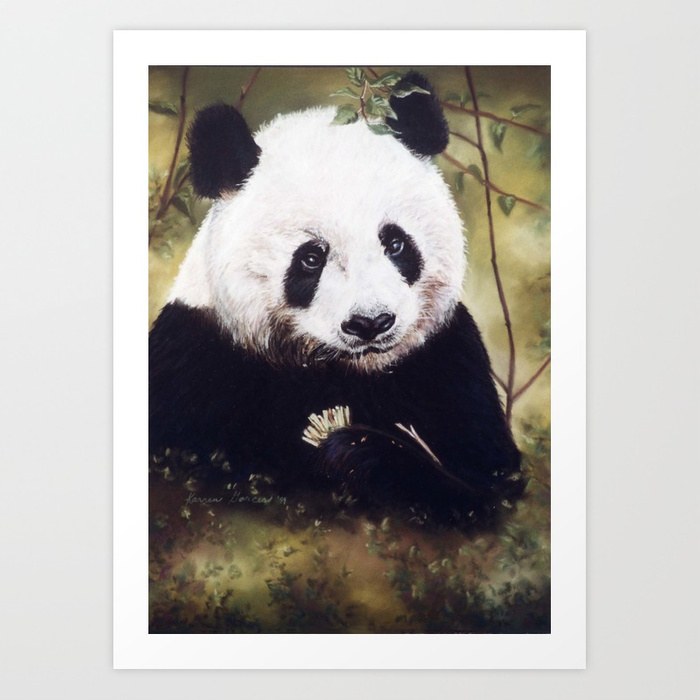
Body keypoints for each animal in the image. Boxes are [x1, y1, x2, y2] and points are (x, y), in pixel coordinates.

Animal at [150, 72, 524, 525]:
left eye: (395, 244)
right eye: (311, 258)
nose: (371, 323)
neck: (341, 370)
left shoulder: (444, 359)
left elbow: (487, 481)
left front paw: (356, 453)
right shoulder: (195, 357)